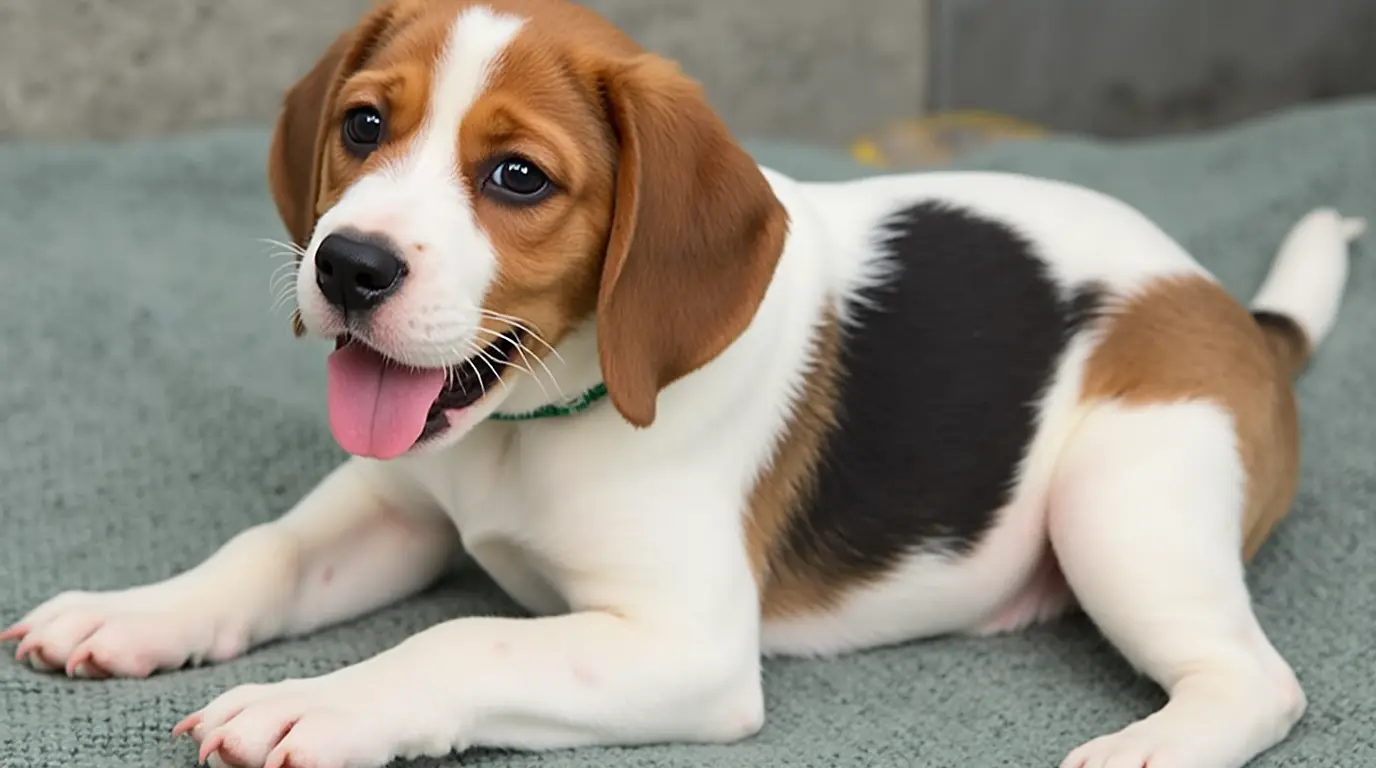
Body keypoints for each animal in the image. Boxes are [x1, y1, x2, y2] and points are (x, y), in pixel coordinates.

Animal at [2, 1, 1364, 768]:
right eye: (362, 127)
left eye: (516, 178)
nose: (347, 265)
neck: (535, 424)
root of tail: (1227, 311)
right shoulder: (397, 507)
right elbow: (264, 553)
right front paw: (136, 612)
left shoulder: (688, 650)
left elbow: (455, 639)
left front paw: (313, 711)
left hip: (1116, 503)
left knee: (1256, 682)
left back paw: (1148, 749)